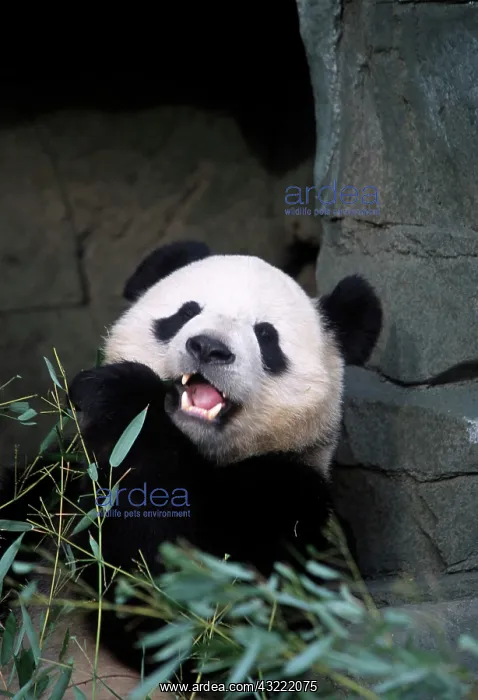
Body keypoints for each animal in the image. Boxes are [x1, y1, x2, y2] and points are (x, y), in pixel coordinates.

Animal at [0, 240, 382, 698]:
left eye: (266, 336)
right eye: (185, 312)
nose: (208, 348)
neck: (197, 451)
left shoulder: (292, 504)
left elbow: (197, 615)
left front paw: (124, 393)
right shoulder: (55, 482)